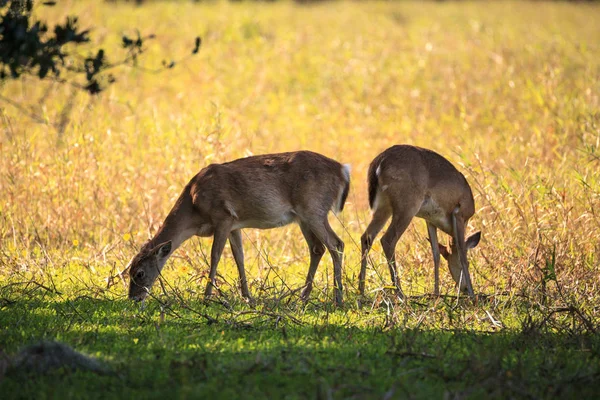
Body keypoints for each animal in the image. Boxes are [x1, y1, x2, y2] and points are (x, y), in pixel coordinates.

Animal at [126, 152, 352, 304]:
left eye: (139, 273)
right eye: (129, 271)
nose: (133, 299)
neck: (193, 207)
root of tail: (343, 170)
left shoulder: (223, 216)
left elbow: (215, 255)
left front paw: (207, 297)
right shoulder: (235, 225)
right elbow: (239, 257)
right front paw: (247, 296)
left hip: (314, 209)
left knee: (336, 244)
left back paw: (338, 298)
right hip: (303, 218)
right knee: (317, 248)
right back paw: (303, 297)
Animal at [358, 145, 480, 298]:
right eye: (469, 263)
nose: (463, 288)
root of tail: (379, 162)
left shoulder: (430, 220)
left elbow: (435, 254)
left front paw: (436, 293)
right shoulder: (459, 214)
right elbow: (462, 253)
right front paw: (473, 294)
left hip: (383, 206)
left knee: (366, 237)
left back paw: (361, 290)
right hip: (407, 206)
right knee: (387, 240)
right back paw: (400, 293)